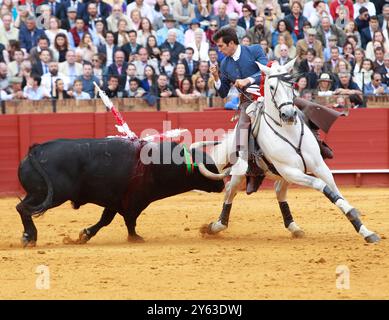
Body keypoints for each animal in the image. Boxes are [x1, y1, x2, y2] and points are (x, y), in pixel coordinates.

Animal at [16, 138, 224, 248]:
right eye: (209, 166)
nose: (222, 185)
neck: (155, 165)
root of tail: (36, 150)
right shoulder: (134, 201)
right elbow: (130, 220)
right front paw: (135, 238)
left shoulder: (114, 201)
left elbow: (105, 220)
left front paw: (85, 234)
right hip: (50, 195)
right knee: (23, 208)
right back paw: (29, 237)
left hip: (37, 193)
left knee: (22, 207)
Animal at [194, 58, 378, 242]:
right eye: (271, 87)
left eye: (291, 84)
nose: (288, 114)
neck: (289, 132)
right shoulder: (290, 170)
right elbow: (321, 184)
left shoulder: (318, 166)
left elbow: (335, 190)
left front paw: (364, 229)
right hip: (243, 173)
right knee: (229, 192)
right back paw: (215, 226)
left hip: (280, 175)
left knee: (278, 192)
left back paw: (293, 227)